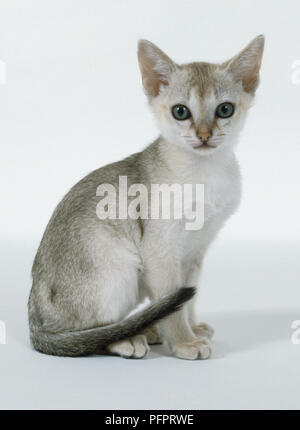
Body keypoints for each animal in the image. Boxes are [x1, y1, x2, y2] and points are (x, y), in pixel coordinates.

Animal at [27, 36, 262, 360]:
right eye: (181, 112)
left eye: (224, 109)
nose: (204, 135)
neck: (204, 175)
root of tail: (34, 325)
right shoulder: (160, 251)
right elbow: (172, 306)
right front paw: (184, 342)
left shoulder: (194, 253)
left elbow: (186, 301)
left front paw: (192, 329)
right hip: (120, 267)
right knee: (92, 333)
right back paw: (127, 339)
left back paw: (147, 330)